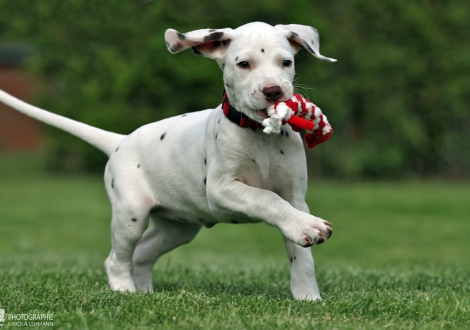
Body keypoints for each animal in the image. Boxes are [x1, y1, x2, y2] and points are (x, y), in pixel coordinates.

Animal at [0, 20, 338, 300]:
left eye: (286, 62)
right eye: (244, 64)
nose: (274, 91)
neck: (259, 133)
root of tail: (120, 141)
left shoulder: (295, 196)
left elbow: (301, 256)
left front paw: (307, 296)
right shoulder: (221, 189)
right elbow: (266, 198)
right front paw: (306, 227)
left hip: (177, 227)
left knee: (143, 253)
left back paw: (144, 292)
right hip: (131, 215)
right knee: (117, 258)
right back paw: (124, 290)